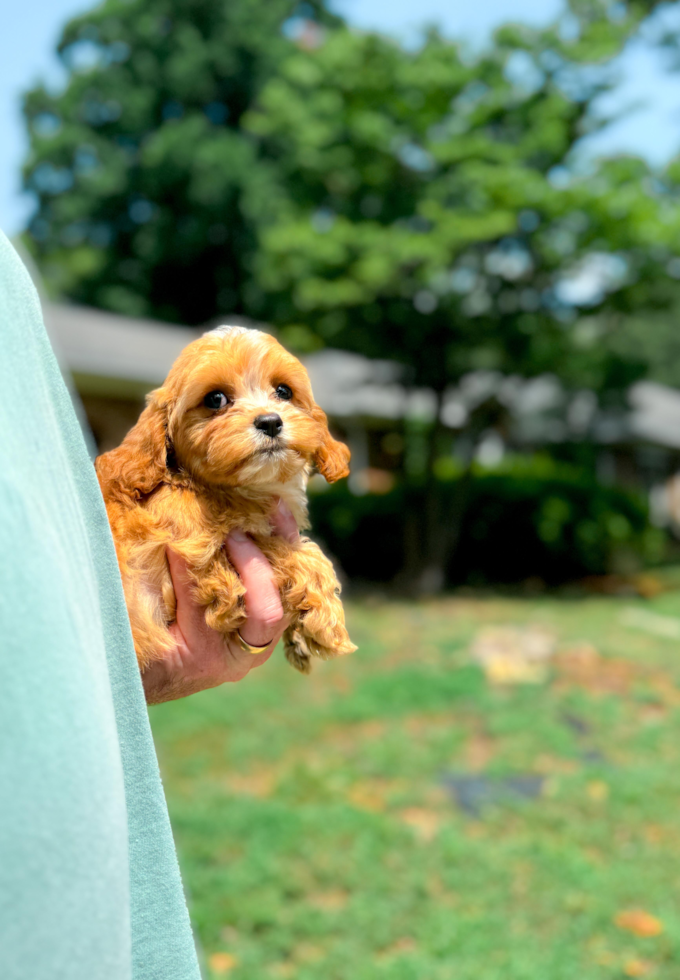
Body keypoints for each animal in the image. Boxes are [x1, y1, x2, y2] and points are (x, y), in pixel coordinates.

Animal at [96, 328, 358, 672]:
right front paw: (327, 622)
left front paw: (299, 639)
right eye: (215, 399)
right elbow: (285, 549)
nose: (270, 422)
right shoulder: (193, 545)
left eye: (284, 391)